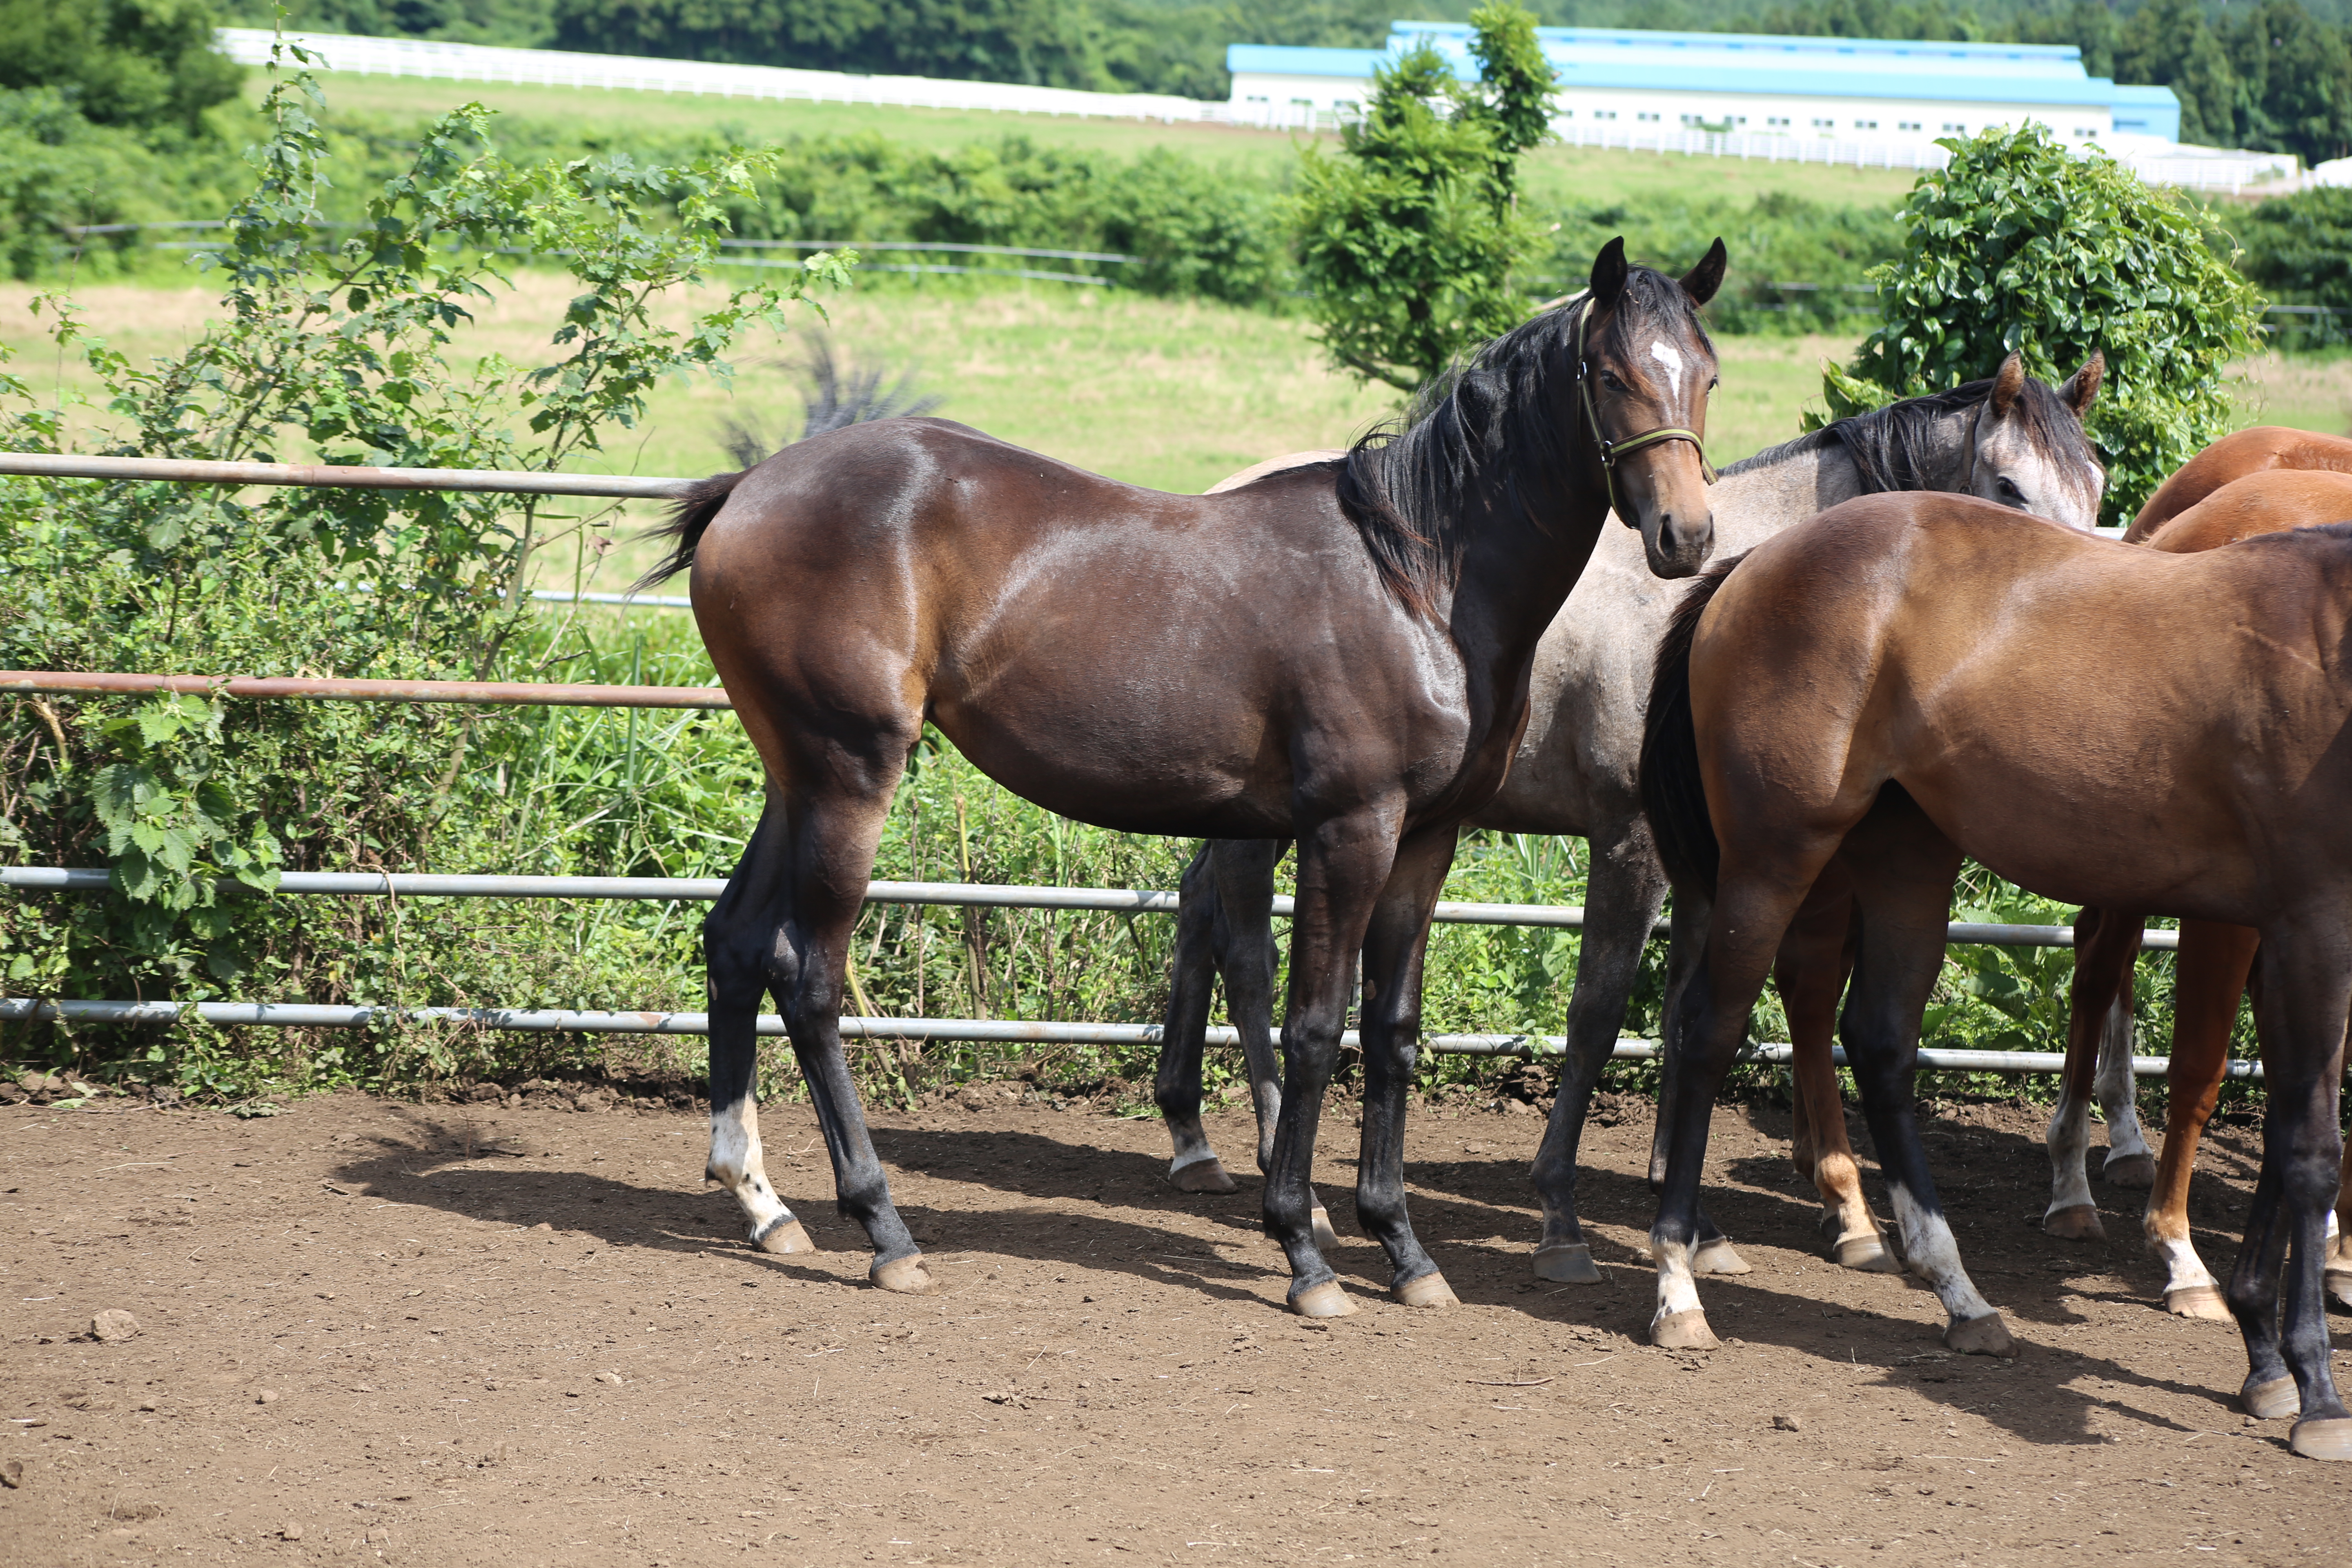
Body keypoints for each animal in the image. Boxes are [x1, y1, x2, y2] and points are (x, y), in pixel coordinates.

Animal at [654, 240, 1722, 1316]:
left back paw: (762, 1204)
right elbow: (1313, 1027)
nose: (1685, 535)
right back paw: (882, 1228)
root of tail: (751, 488)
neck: (1418, 581)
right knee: (809, 977)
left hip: (797, 779)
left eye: (1707, 374)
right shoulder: (1351, 828)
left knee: (737, 942)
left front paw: (1404, 1249)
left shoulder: (1427, 839)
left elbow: (1393, 1031)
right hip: (851, 778)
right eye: (1608, 373)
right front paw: (1303, 1250)